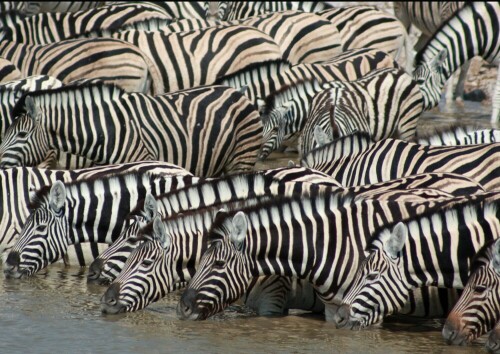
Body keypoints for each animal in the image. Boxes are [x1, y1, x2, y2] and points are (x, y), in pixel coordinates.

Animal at [0, 82, 264, 176]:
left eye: (22, 134)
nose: (0, 164)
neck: (107, 129)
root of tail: (238, 91)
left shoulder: (144, 163)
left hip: (242, 158)